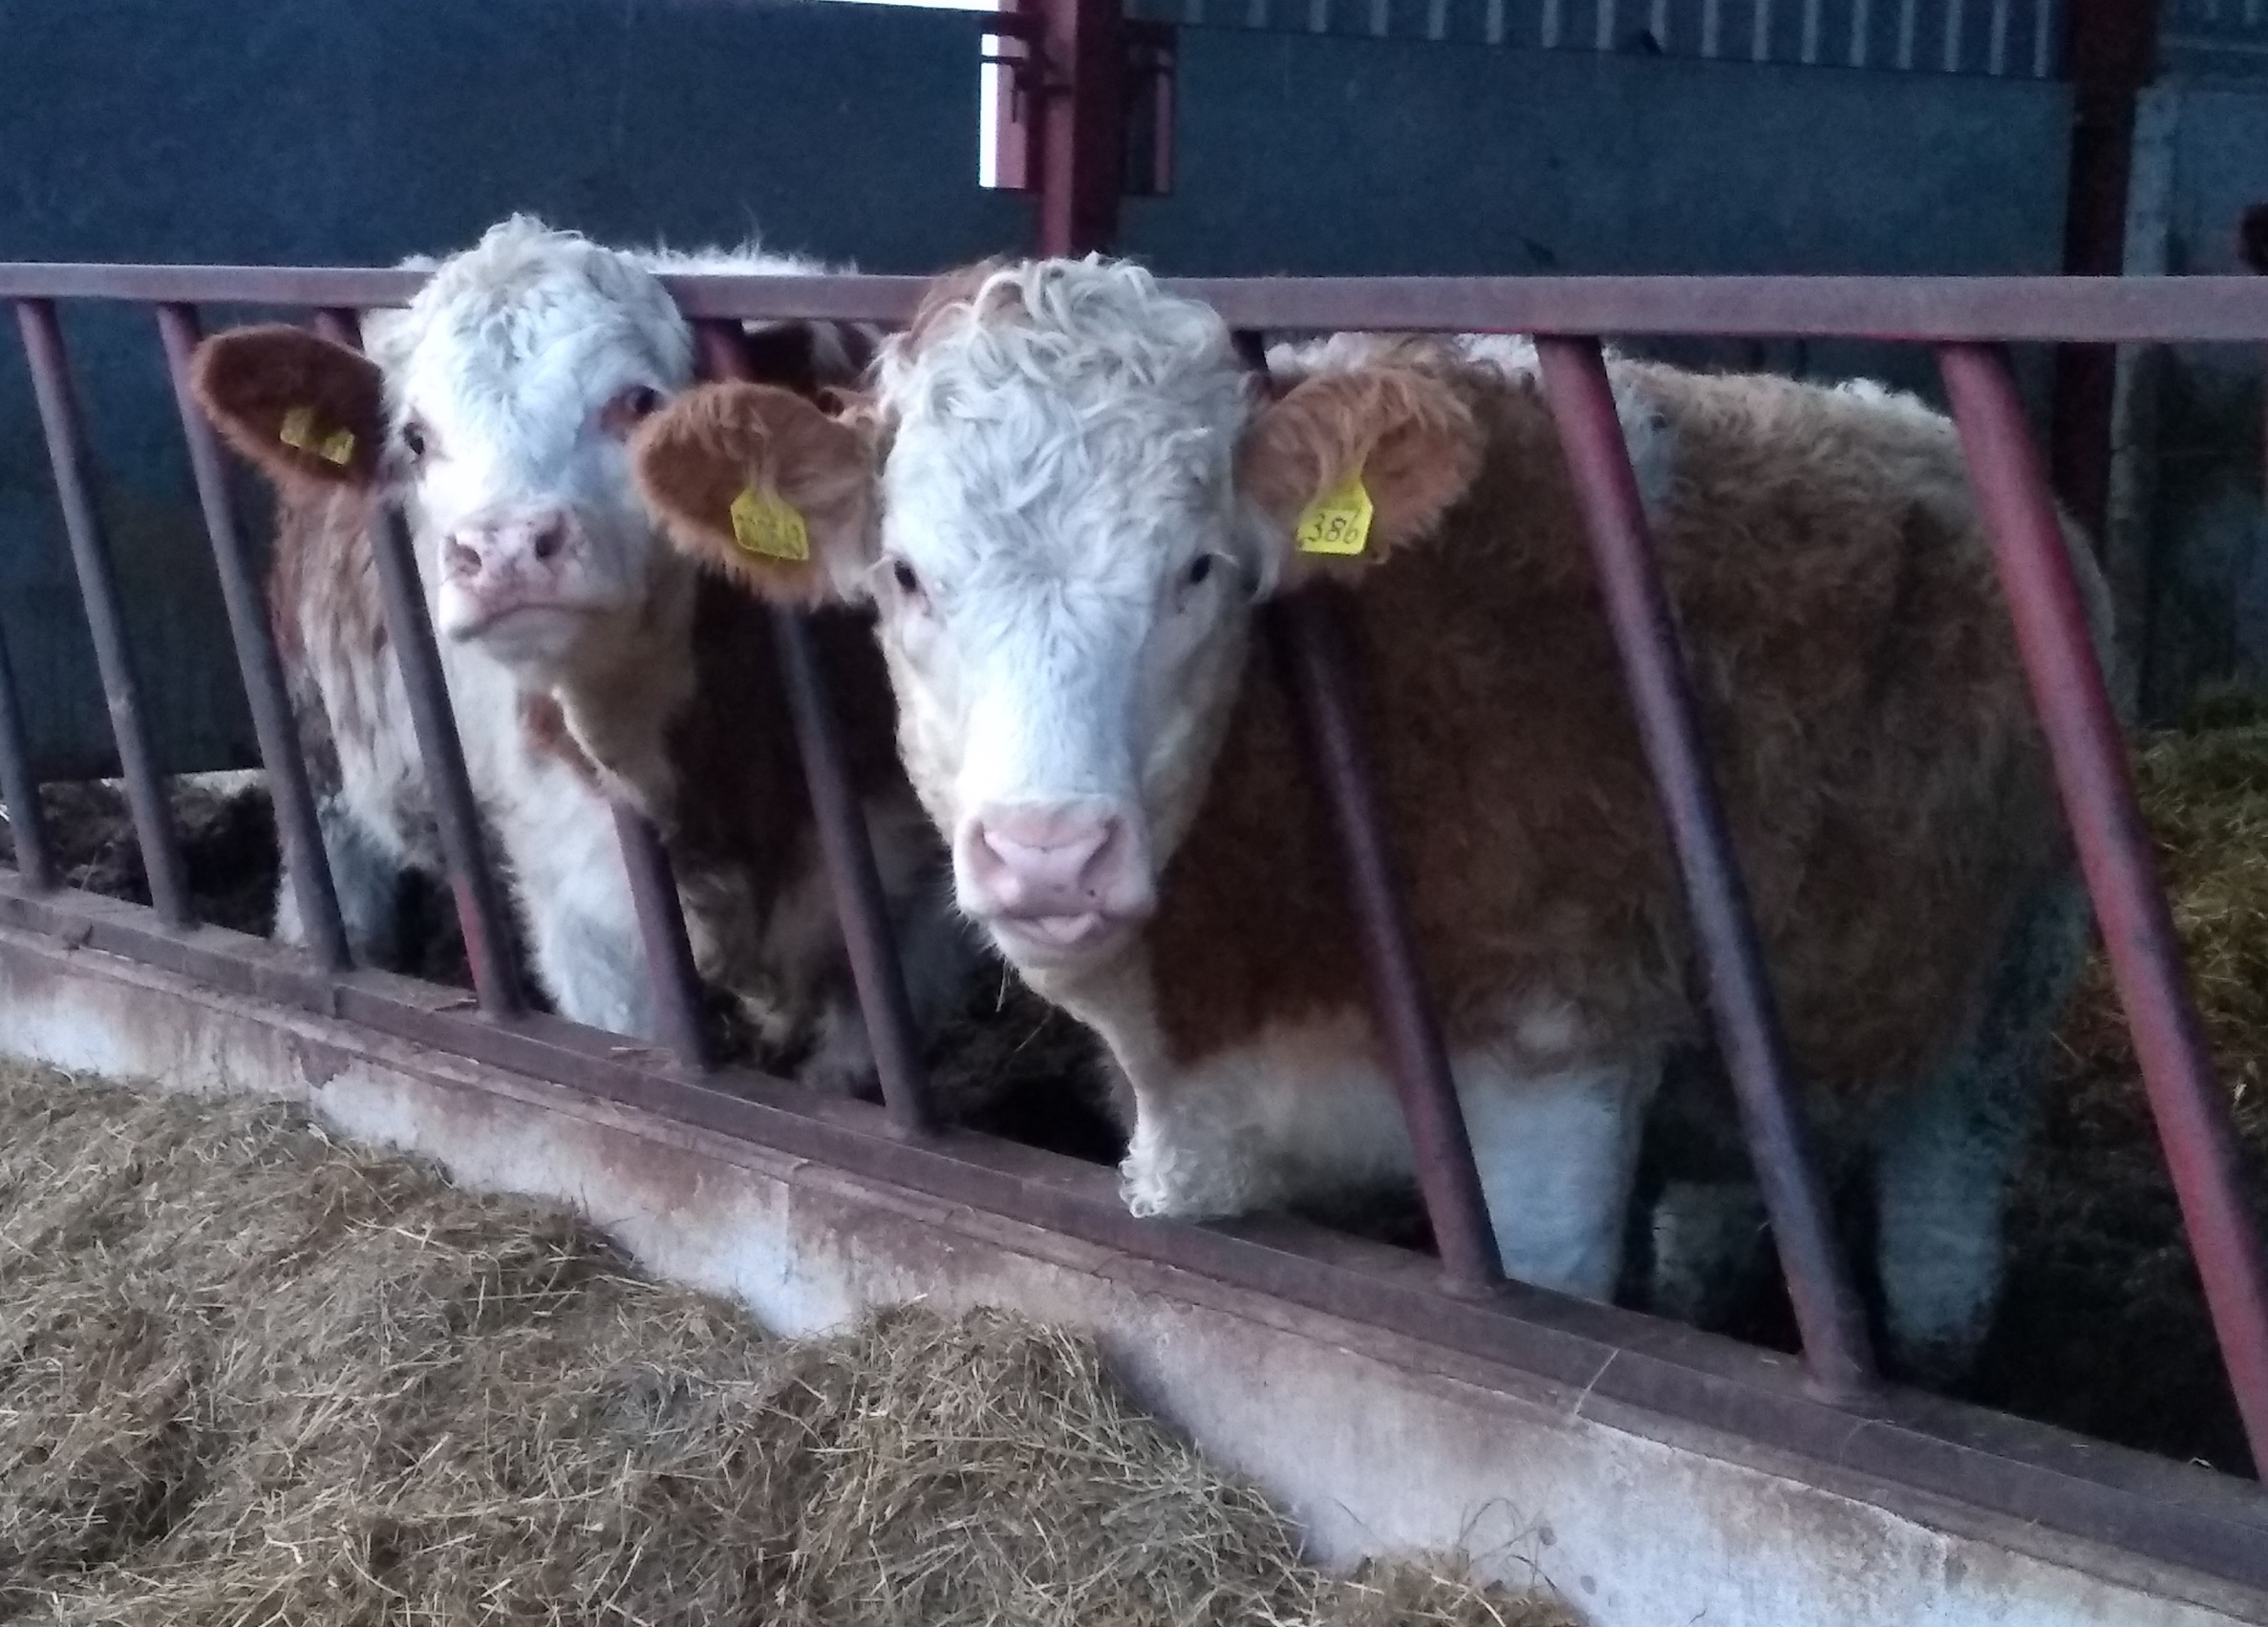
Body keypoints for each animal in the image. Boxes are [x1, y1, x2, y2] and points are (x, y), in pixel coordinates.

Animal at [190, 212, 971, 1080]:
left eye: (637, 401)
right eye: (416, 438)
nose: (499, 548)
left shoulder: (910, 904)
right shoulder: (584, 916)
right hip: (316, 730)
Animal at [626, 259, 2105, 1380]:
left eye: (1198, 568)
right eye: (905, 574)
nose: (1047, 852)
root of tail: (1894, 411)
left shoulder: (1554, 1087)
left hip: (2012, 977)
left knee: (1942, 1228)